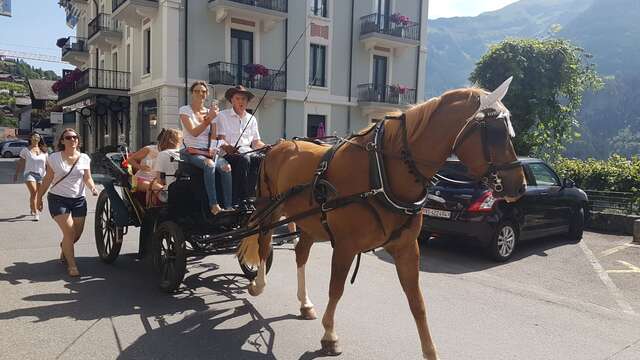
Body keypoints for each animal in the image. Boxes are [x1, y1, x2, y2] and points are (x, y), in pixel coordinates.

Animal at [238, 79, 528, 360]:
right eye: (496, 133)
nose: (520, 186)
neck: (381, 171)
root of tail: (279, 145)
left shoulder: (407, 248)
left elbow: (417, 303)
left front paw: (429, 350)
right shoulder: (345, 246)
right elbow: (336, 289)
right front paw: (330, 335)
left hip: (310, 223)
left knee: (300, 254)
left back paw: (304, 303)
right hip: (269, 210)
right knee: (264, 243)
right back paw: (258, 284)